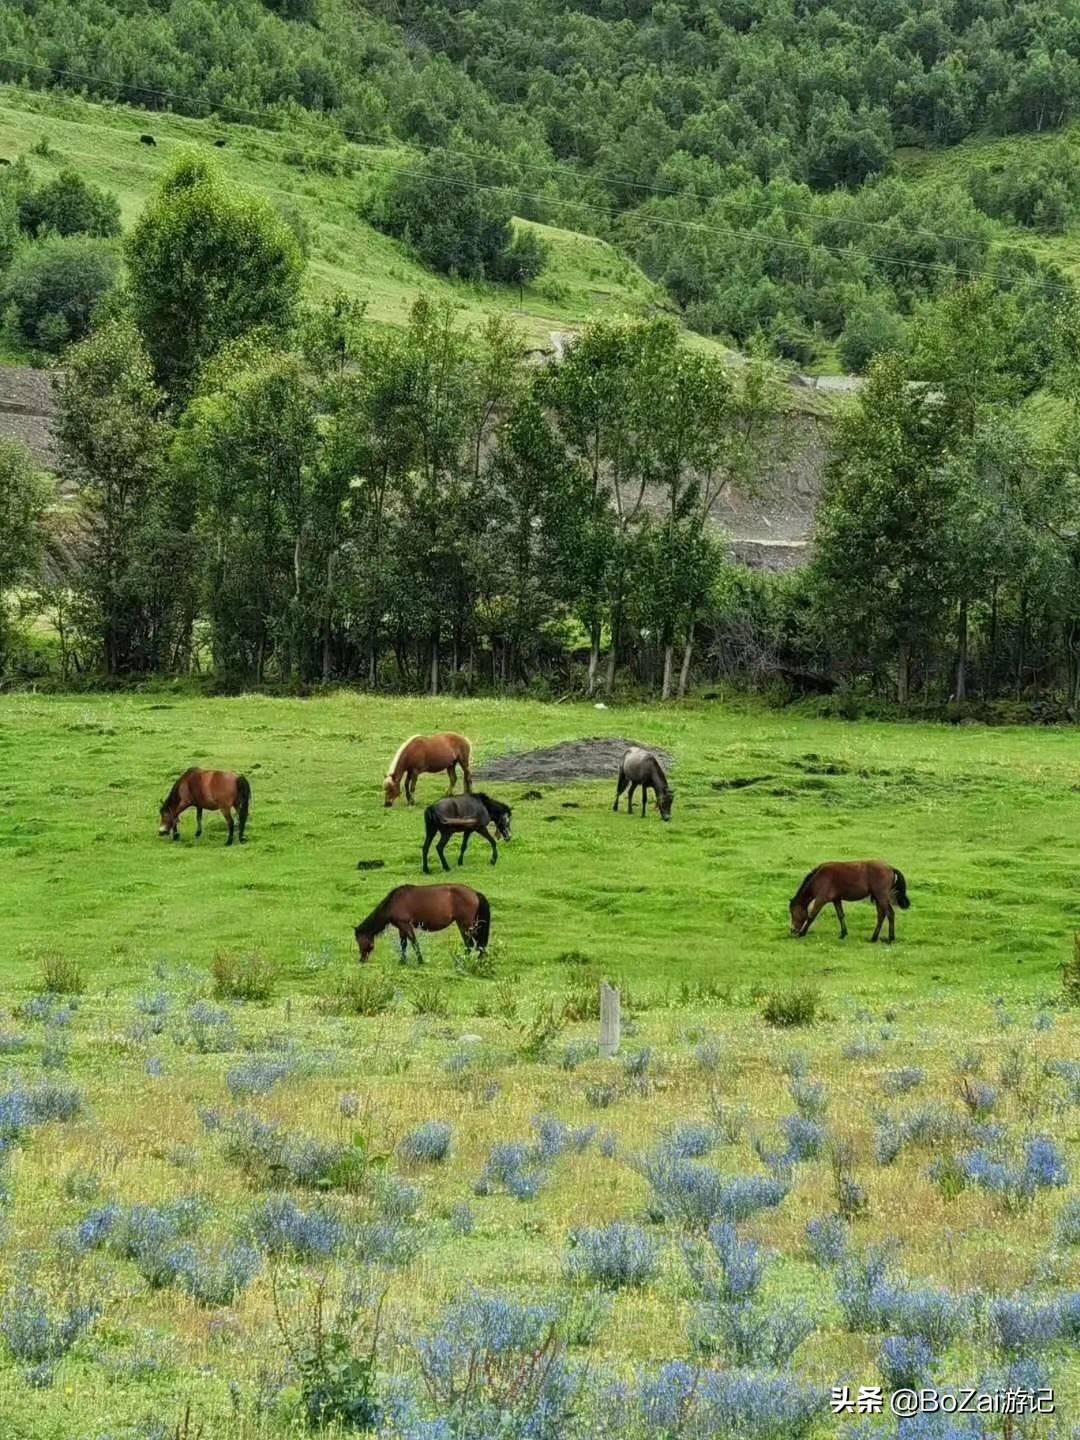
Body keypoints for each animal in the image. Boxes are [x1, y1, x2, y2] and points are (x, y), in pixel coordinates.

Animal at [355, 875, 489, 967]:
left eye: (359, 941)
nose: (361, 960)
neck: (393, 902)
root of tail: (475, 893)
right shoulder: (401, 927)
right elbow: (403, 944)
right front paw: (402, 961)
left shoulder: (406, 925)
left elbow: (414, 942)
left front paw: (420, 960)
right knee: (479, 944)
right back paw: (479, 961)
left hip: (464, 925)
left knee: (470, 944)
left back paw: (461, 962)